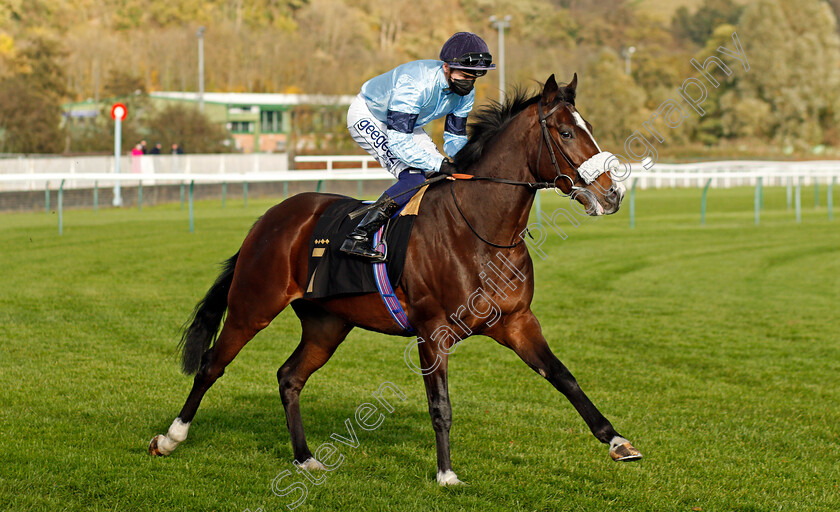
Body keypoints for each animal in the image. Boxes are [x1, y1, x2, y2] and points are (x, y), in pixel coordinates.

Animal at [149, 74, 644, 486]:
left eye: (588, 126)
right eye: (565, 132)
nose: (612, 194)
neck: (480, 230)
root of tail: (270, 219)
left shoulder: (518, 321)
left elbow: (563, 377)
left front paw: (618, 441)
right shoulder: (433, 330)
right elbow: (440, 405)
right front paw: (446, 474)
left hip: (327, 323)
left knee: (289, 377)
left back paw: (305, 457)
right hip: (254, 304)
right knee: (212, 364)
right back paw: (171, 438)